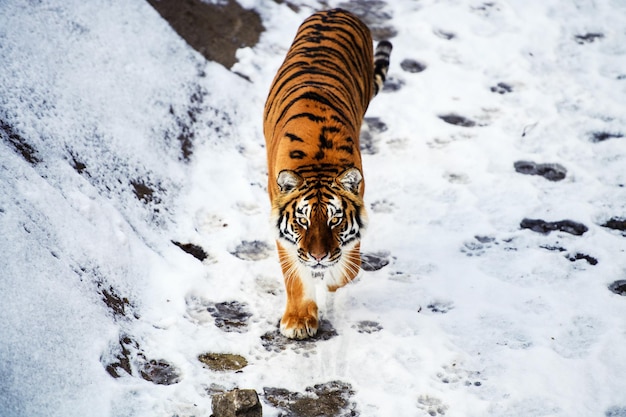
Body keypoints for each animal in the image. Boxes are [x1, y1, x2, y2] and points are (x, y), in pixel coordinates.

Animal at [262, 8, 390, 338]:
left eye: (335, 220)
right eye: (302, 221)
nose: (318, 257)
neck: (317, 163)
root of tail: (337, 10)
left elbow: (349, 266)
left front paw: (331, 277)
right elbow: (294, 274)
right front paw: (298, 321)